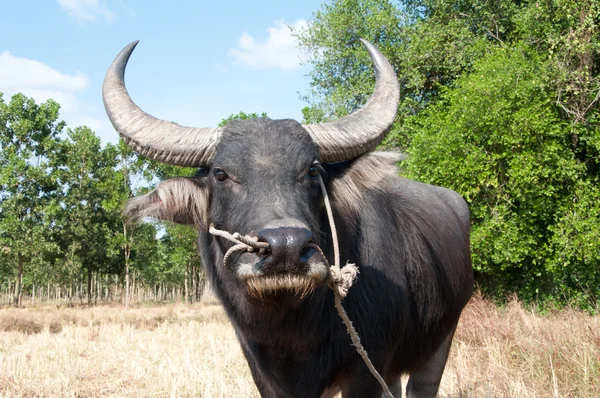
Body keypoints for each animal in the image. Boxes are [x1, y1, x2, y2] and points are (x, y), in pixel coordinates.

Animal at [103, 38, 474, 396]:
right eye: (221, 174)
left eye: (312, 170)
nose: (286, 247)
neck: (292, 331)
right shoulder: (262, 370)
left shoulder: (367, 367)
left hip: (442, 339)